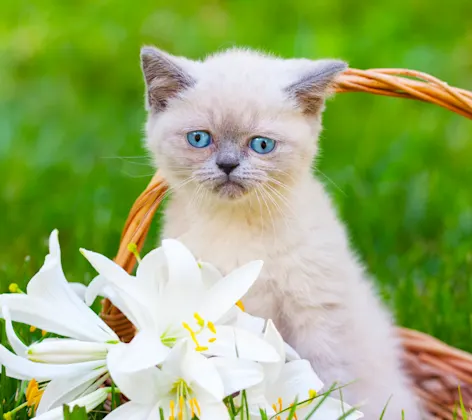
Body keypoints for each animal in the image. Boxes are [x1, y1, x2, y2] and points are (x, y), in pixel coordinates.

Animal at [139, 46, 420, 420]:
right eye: (199, 139)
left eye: (261, 145)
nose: (227, 165)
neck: (236, 224)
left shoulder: (316, 314)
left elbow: (326, 376)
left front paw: (320, 408)